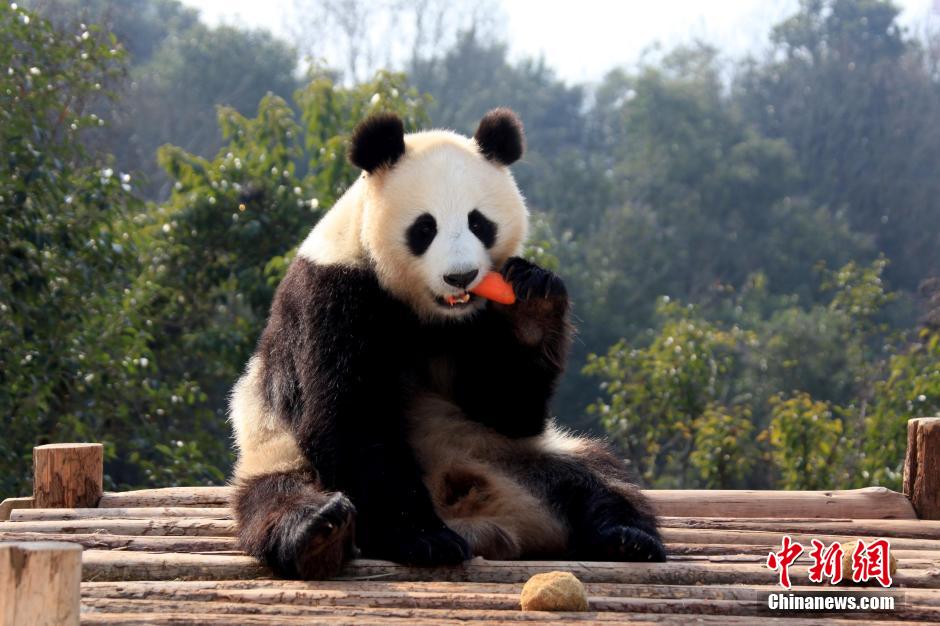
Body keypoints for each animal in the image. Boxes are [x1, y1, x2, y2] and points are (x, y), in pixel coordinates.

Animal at [230, 106, 664, 576]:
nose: (461, 276)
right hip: (275, 453)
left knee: (597, 479)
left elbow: (508, 408)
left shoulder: (478, 326)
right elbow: (349, 417)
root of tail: (494, 520)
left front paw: (532, 305)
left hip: (513, 455)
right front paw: (424, 539)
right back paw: (319, 533)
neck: (431, 311)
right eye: (425, 228)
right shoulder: (334, 292)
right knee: (278, 498)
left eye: (479, 223)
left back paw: (627, 538)